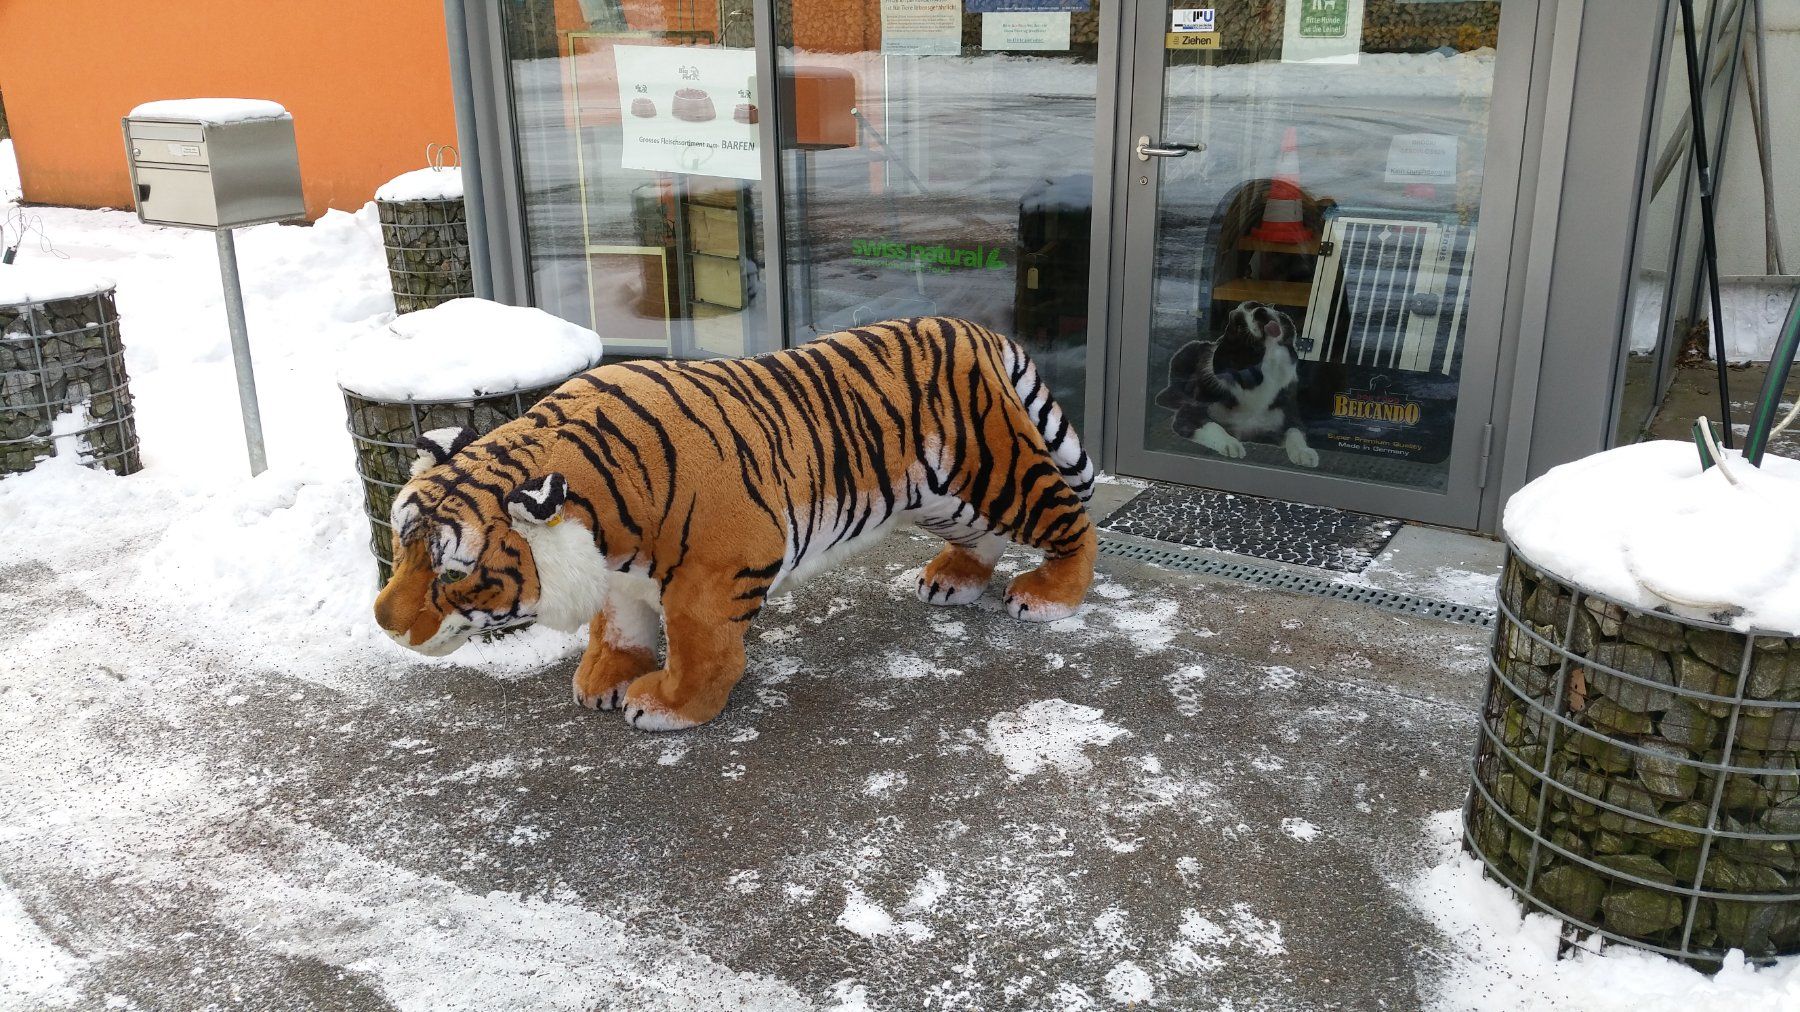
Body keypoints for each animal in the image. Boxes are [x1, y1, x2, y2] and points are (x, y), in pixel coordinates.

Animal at [373, 316, 1098, 731]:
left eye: (453, 574)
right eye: (400, 546)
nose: (382, 620)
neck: (601, 517)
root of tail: (972, 329)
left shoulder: (720, 567)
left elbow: (702, 645)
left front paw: (662, 703)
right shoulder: (618, 576)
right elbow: (619, 625)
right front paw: (604, 677)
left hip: (996, 469)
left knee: (1070, 518)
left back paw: (1048, 596)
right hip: (940, 497)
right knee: (985, 535)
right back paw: (956, 581)